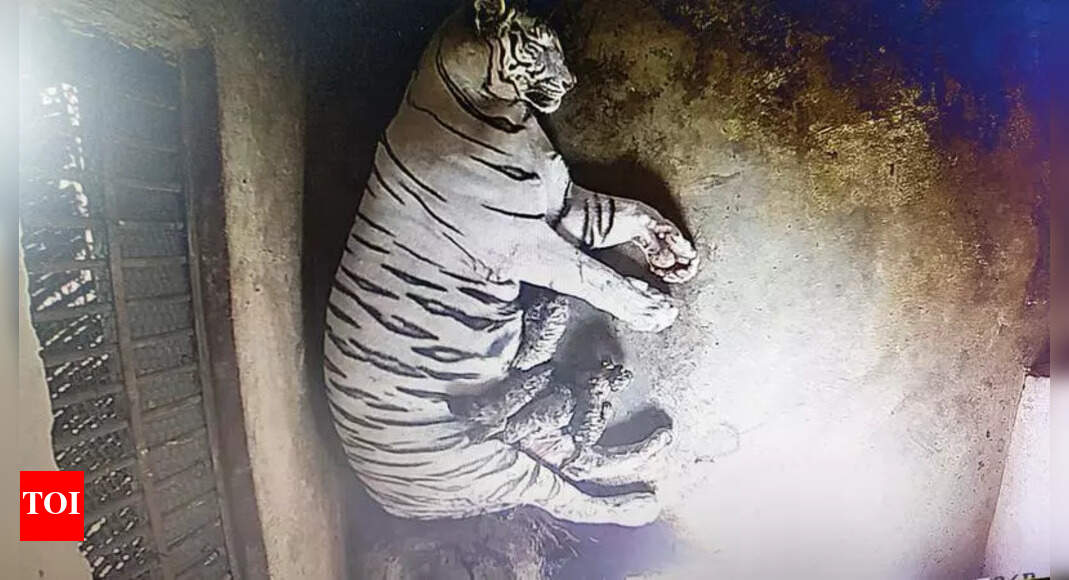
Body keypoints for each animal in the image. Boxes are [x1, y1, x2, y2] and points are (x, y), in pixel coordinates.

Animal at [323, 0, 699, 527]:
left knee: (576, 455)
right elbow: (593, 274)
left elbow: (626, 212)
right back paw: (638, 506)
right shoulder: (523, 241)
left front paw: (675, 253)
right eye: (538, 48)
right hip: (483, 464)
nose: (571, 82)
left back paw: (654, 446)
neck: (509, 118)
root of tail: (385, 498)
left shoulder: (562, 203)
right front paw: (651, 310)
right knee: (567, 497)